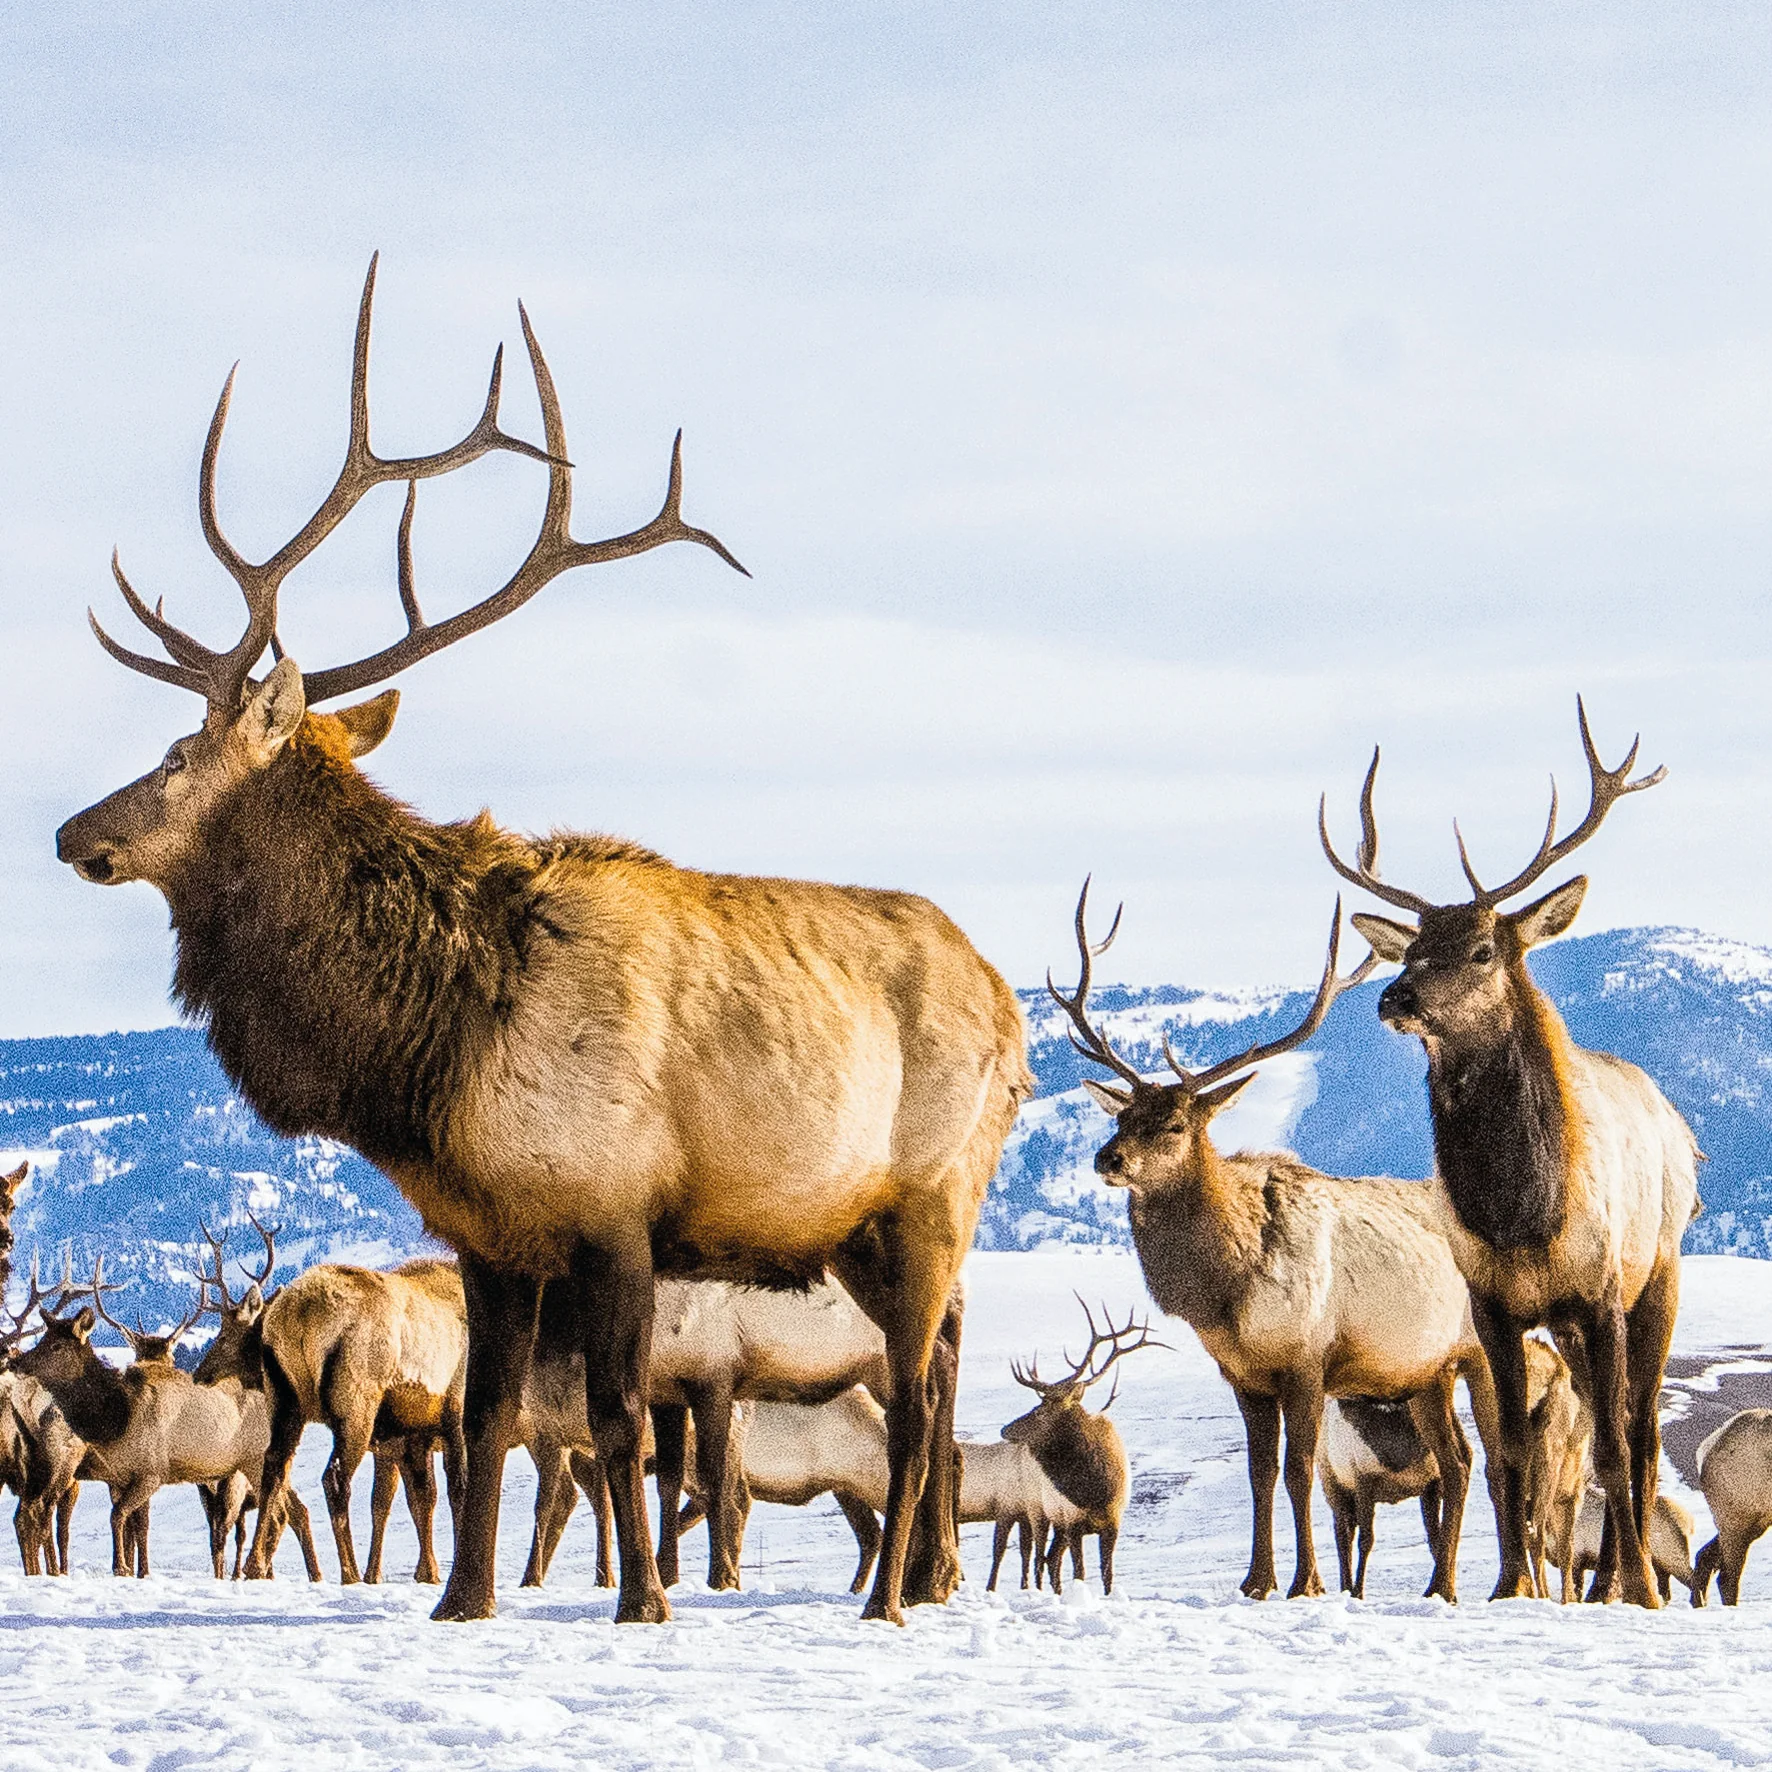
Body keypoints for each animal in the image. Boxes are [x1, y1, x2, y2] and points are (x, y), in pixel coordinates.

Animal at [246, 1255, 467, 1585]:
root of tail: (299, 1314)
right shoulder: (455, 1413)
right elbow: (456, 1491)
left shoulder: (411, 1435)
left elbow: (421, 1498)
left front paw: (428, 1574)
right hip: (357, 1404)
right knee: (334, 1478)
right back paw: (349, 1572)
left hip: (285, 1401)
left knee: (274, 1467)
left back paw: (255, 1565)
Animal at [1001, 1301, 1156, 1596]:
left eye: (1040, 1411)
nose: (1005, 1429)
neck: (1094, 1490)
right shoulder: (1072, 1521)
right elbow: (1079, 1572)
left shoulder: (1112, 1522)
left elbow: (1107, 1573)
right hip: (1038, 1510)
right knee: (1038, 1557)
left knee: (1050, 1558)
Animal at [1050, 883, 1503, 1603]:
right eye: (1121, 1115)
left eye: (1174, 1124)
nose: (1107, 1158)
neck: (1227, 1291)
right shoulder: (1243, 1374)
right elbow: (1259, 1475)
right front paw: (1256, 1579)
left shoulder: (1308, 1360)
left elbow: (1299, 1471)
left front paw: (1304, 1582)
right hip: (1424, 1370)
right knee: (1456, 1460)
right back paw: (1443, 1584)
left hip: (1477, 1350)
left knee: (1501, 1458)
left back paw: (1508, 1583)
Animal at [1322, 701, 1701, 1607]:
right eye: (1412, 948)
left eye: (1483, 948)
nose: (1395, 996)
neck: (1520, 1213)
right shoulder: (1494, 1304)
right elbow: (1513, 1459)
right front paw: (1507, 1586)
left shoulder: (1599, 1290)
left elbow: (1610, 1446)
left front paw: (1640, 1586)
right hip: (1567, 1324)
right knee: (1605, 1425)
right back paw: (1598, 1585)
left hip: (1658, 1274)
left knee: (1638, 1430)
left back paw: (1632, 1582)